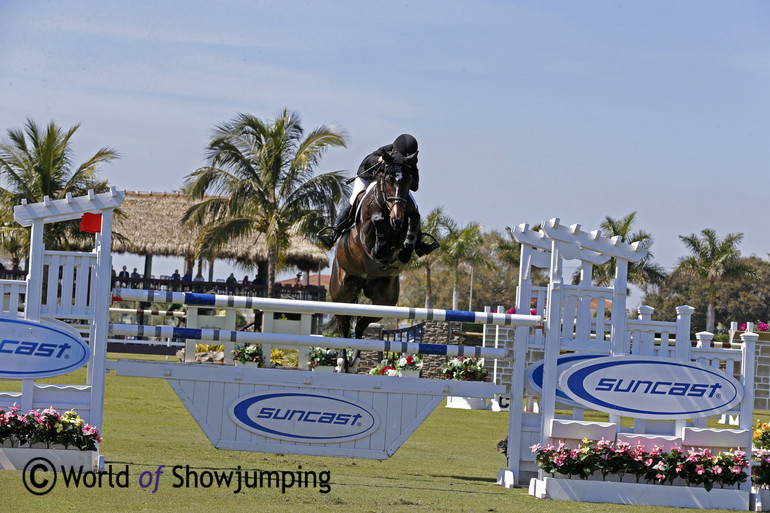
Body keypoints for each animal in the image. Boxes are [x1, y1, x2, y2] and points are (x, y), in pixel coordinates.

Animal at [326, 150, 416, 370]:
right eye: (389, 179)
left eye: (409, 180)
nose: (397, 219)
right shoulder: (364, 234)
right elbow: (375, 223)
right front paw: (380, 248)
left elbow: (413, 221)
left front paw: (403, 251)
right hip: (341, 292)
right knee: (344, 325)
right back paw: (342, 362)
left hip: (383, 302)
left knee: (360, 325)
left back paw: (355, 362)